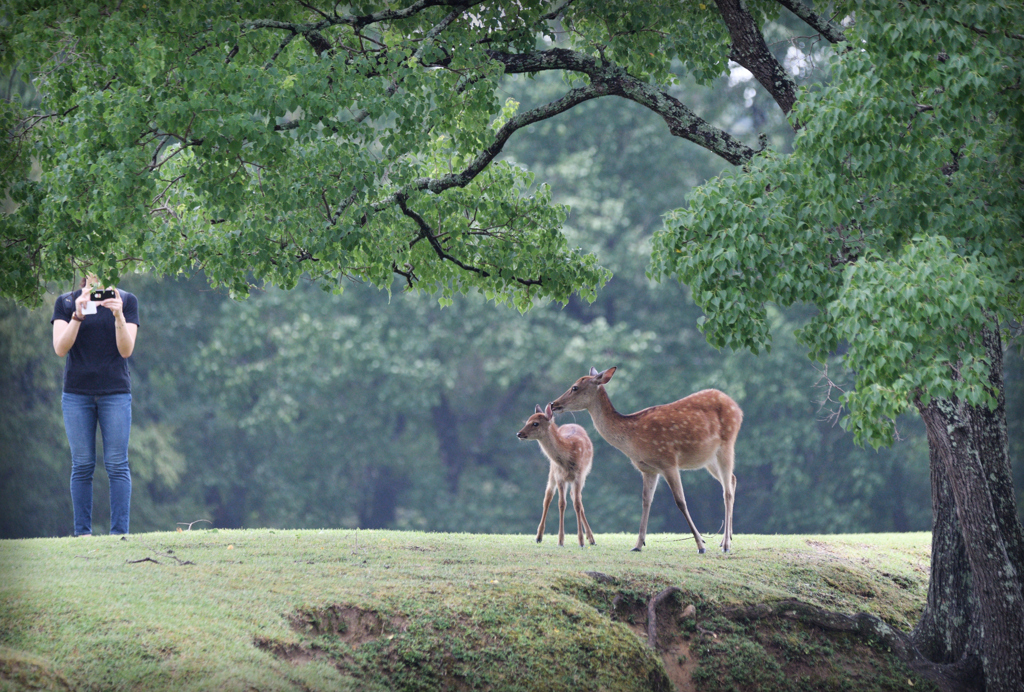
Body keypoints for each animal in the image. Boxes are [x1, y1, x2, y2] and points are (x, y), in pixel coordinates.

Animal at [516, 403, 598, 548]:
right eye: (527, 421)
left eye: (535, 423)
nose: (519, 433)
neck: (569, 455)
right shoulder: (559, 476)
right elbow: (561, 504)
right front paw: (560, 541)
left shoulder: (579, 476)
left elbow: (577, 504)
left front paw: (581, 541)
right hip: (552, 471)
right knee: (548, 496)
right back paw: (539, 537)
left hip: (583, 475)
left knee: (576, 498)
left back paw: (591, 539)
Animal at [548, 368, 741, 552]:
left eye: (575, 387)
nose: (553, 404)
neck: (631, 438)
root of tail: (737, 407)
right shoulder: (649, 469)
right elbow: (646, 501)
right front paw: (638, 545)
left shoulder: (668, 461)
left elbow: (680, 501)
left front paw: (701, 545)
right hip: (709, 458)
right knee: (732, 480)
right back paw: (726, 539)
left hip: (727, 443)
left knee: (727, 491)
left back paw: (726, 545)